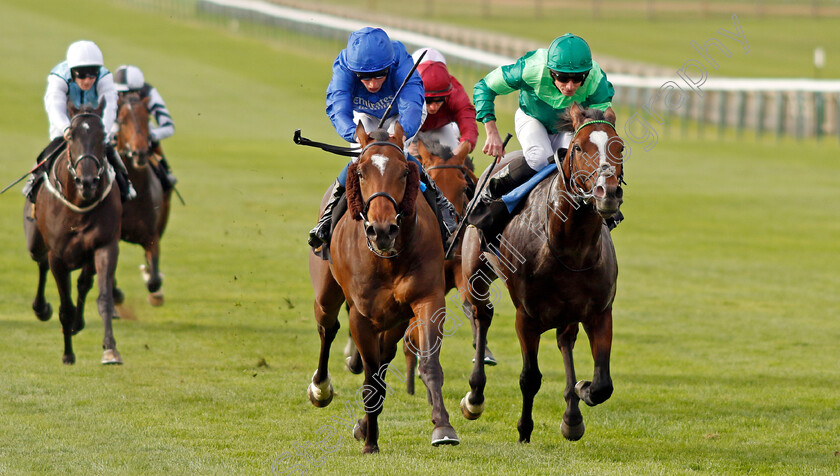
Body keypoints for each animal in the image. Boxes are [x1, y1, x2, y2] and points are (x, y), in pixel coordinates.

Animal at [23, 103, 123, 364]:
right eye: (70, 137)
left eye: (103, 136)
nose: (87, 182)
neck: (79, 205)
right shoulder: (58, 255)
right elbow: (65, 308)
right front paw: (68, 353)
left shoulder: (104, 245)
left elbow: (103, 297)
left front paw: (110, 349)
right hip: (36, 241)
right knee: (41, 263)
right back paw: (42, 308)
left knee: (83, 283)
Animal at [113, 92, 171, 304]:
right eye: (121, 121)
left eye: (147, 119)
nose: (139, 153)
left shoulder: (151, 236)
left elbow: (153, 278)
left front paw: (155, 287)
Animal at [308, 121, 460, 452]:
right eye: (362, 172)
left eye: (403, 172)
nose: (382, 230)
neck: (387, 258)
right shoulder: (360, 315)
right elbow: (369, 381)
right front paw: (371, 444)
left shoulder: (427, 300)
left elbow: (428, 364)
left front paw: (443, 427)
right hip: (326, 292)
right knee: (327, 328)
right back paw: (321, 388)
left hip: (395, 319)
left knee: (384, 356)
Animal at [460, 104, 624, 442]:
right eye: (579, 147)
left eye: (620, 147)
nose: (608, 193)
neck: (570, 249)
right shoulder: (527, 317)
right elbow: (530, 377)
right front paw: (524, 430)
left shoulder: (600, 311)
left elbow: (603, 384)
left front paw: (582, 391)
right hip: (476, 273)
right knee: (482, 316)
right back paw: (475, 397)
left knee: (565, 340)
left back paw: (572, 415)